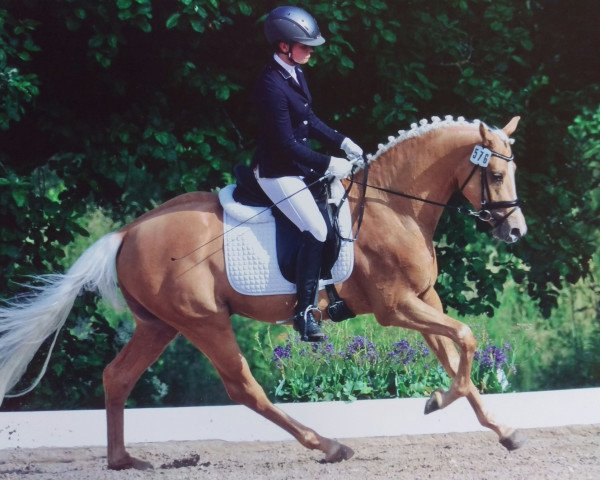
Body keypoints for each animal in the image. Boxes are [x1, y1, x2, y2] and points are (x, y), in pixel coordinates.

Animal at [0, 115, 524, 468]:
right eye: (497, 175)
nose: (515, 231)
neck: (393, 206)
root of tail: (127, 232)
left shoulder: (424, 299)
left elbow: (455, 356)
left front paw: (500, 429)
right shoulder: (396, 308)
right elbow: (466, 340)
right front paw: (440, 402)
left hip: (159, 325)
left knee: (117, 377)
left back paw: (123, 460)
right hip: (203, 321)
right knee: (244, 386)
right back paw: (327, 445)